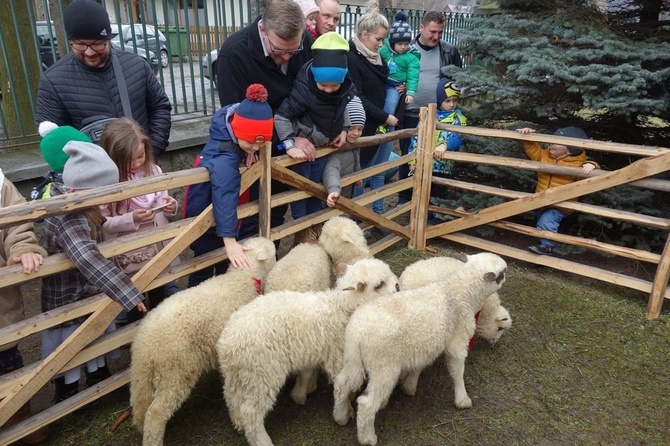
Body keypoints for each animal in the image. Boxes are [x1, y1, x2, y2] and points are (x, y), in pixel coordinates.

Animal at [130, 237, 276, 446]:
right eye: (273, 253)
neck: (242, 279)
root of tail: (145, 344)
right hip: (175, 373)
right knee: (155, 413)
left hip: (141, 375)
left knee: (140, 405)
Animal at [218, 258, 402, 446]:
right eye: (379, 285)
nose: (397, 286)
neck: (342, 308)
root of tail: (228, 344)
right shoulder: (339, 357)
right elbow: (343, 386)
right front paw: (347, 409)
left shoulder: (309, 351)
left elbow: (306, 373)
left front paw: (300, 393)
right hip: (262, 374)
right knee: (251, 412)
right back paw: (261, 440)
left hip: (238, 375)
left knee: (231, 397)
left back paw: (238, 422)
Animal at [336, 253, 510, 444]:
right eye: (501, 273)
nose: (507, 276)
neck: (460, 293)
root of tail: (357, 333)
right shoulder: (457, 343)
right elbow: (457, 371)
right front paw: (462, 399)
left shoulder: (425, 344)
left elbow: (419, 366)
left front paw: (409, 386)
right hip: (384, 367)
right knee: (367, 403)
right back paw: (368, 438)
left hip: (352, 359)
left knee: (341, 383)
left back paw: (340, 417)